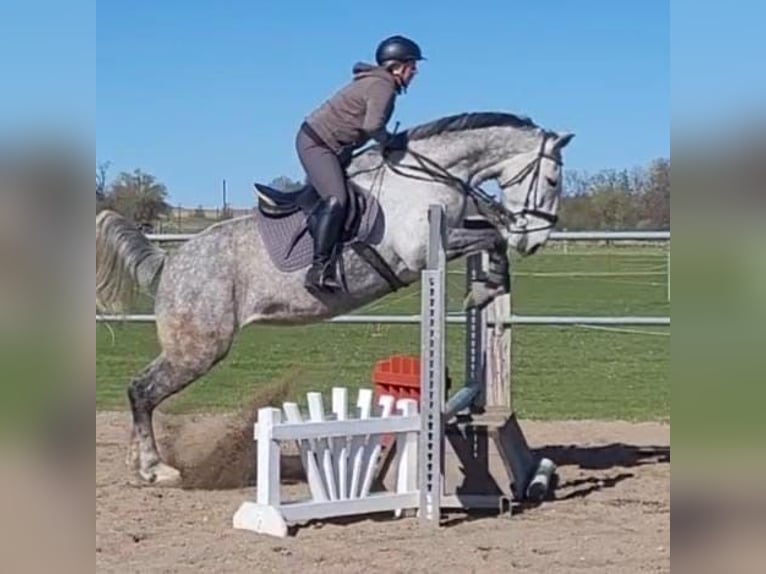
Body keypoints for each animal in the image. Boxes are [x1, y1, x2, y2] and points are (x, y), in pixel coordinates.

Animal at [96, 111, 574, 485]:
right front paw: (485, 286)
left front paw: (486, 286)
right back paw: (155, 468)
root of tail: (170, 263)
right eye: (553, 179)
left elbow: (490, 237)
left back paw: (138, 465)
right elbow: (491, 234)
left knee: (141, 391)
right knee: (142, 391)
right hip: (198, 349)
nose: (534, 241)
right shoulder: (423, 251)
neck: (429, 176)